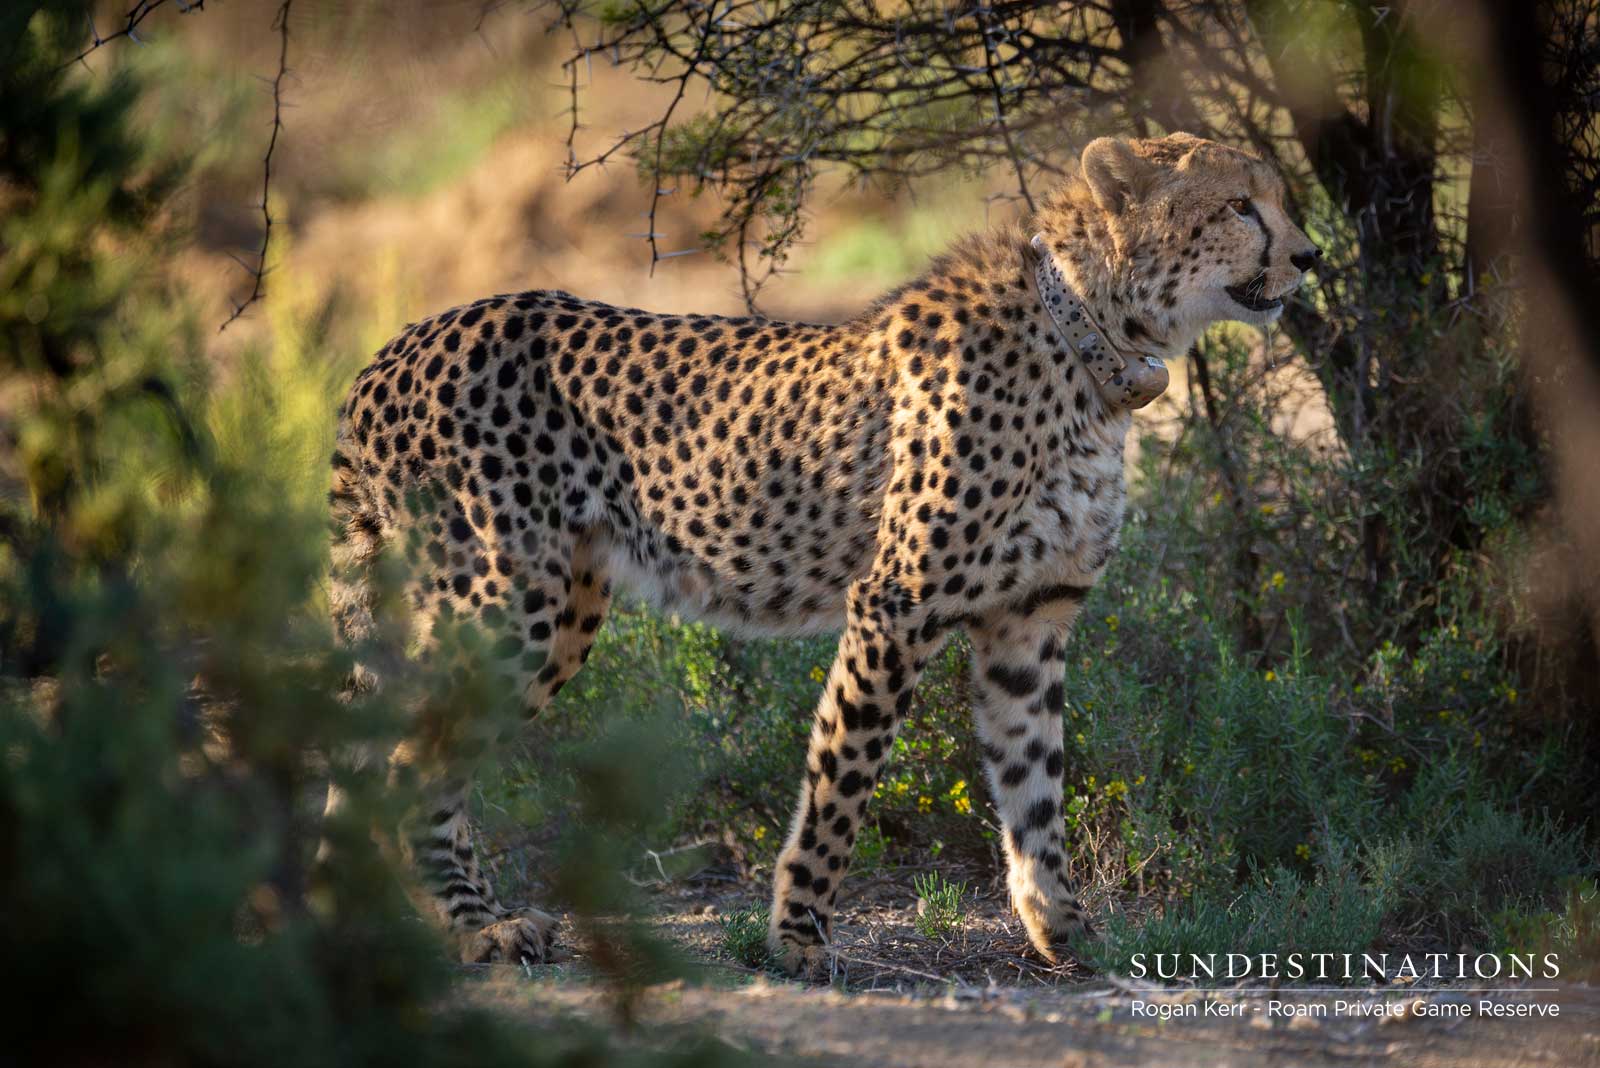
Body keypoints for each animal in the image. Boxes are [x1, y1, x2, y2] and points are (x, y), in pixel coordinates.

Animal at [324, 132, 1320, 974]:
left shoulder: (1028, 620)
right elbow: (844, 777)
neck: (1094, 333)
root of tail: (394, 348)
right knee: (409, 760)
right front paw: (797, 937)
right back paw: (474, 926)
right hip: (507, 600)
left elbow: (1035, 785)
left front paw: (1064, 930)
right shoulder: (896, 602)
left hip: (562, 607)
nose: (1310, 257)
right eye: (1240, 206)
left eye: (1279, 199)